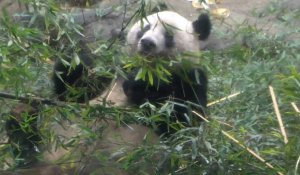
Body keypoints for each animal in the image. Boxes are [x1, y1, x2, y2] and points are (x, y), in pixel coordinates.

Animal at [4, 10, 211, 174]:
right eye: (145, 27)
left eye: (168, 35)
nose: (147, 43)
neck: (148, 68)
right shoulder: (112, 72)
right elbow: (73, 92)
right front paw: (77, 58)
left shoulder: (191, 81)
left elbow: (182, 123)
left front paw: (140, 86)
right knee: (27, 144)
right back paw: (22, 116)